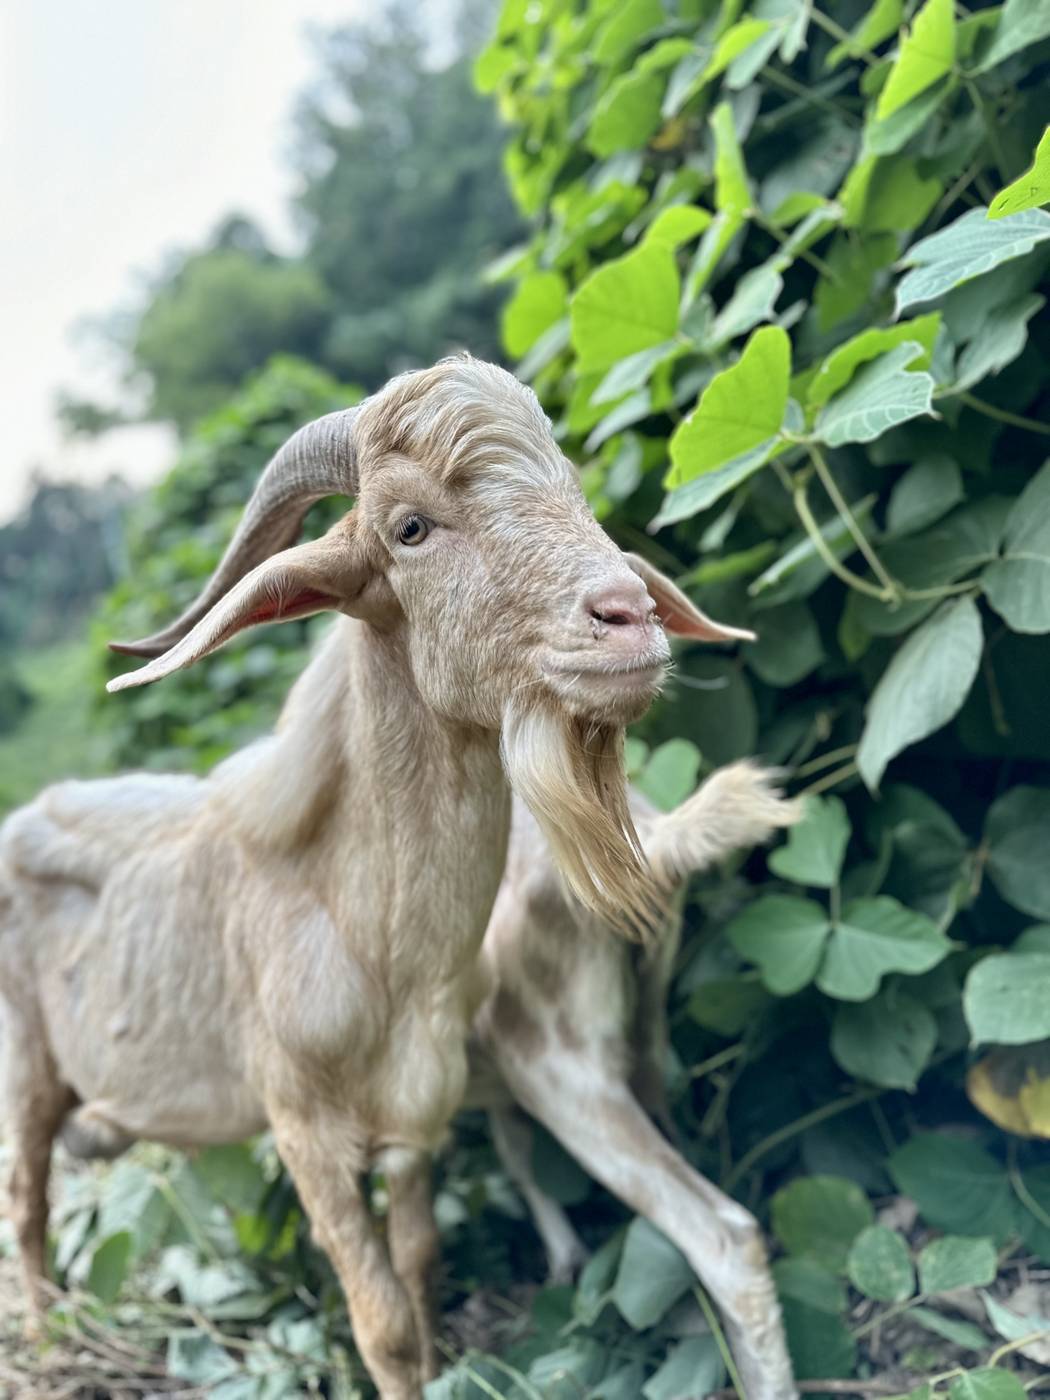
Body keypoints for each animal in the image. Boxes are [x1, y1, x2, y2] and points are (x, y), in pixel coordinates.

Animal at [0, 356, 751, 1400]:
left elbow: (423, 1269)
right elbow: (381, 1321)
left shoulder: (413, 1124)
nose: (629, 618)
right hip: (25, 1064)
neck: (364, 938)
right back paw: (42, 1337)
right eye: (411, 528)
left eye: (572, 489)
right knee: (26, 1201)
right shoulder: (305, 1133)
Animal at [468, 763, 801, 1400]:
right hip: (642, 1029)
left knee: (725, 1235)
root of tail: (649, 838)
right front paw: (566, 1259)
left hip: (559, 1068)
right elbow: (517, 1153)